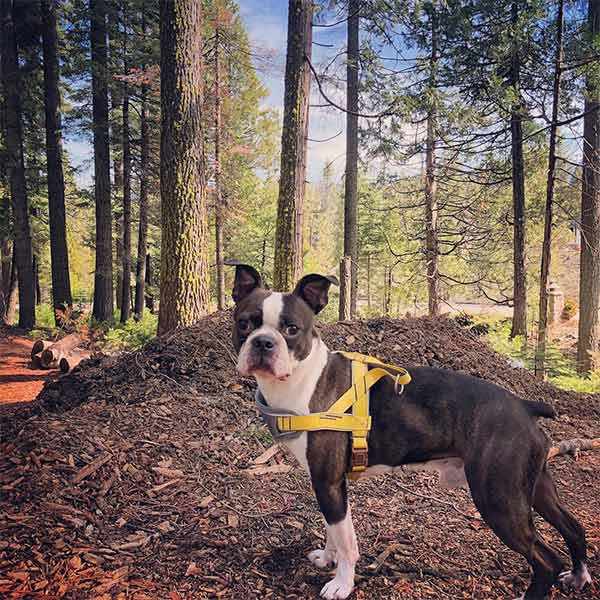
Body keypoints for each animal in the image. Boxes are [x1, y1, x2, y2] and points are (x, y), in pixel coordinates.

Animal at [230, 266, 592, 600]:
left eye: (291, 329)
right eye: (245, 324)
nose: (263, 342)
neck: (304, 378)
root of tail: (524, 405)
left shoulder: (328, 482)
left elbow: (347, 542)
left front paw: (341, 583)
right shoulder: (328, 484)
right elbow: (332, 528)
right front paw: (327, 557)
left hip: (498, 498)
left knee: (546, 559)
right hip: (532, 486)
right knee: (573, 528)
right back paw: (578, 577)